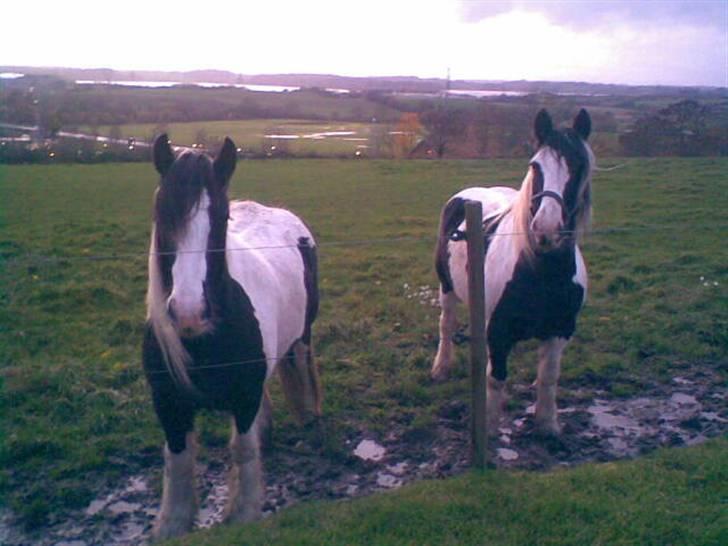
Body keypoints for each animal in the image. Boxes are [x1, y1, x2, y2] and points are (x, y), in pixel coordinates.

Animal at [142, 135, 322, 536]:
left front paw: (243, 513)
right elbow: (178, 459)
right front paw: (173, 523)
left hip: (302, 338)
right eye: (162, 215)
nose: (190, 311)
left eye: (222, 218)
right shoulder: (168, 403)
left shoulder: (245, 396)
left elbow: (242, 449)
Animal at [432, 108, 592, 436]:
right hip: (446, 287)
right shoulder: (499, 331)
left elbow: (548, 377)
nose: (546, 229)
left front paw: (547, 425)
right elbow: (496, 378)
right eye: (535, 165)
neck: (542, 274)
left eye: (580, 166)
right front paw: (489, 428)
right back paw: (441, 366)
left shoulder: (560, 330)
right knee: (447, 325)